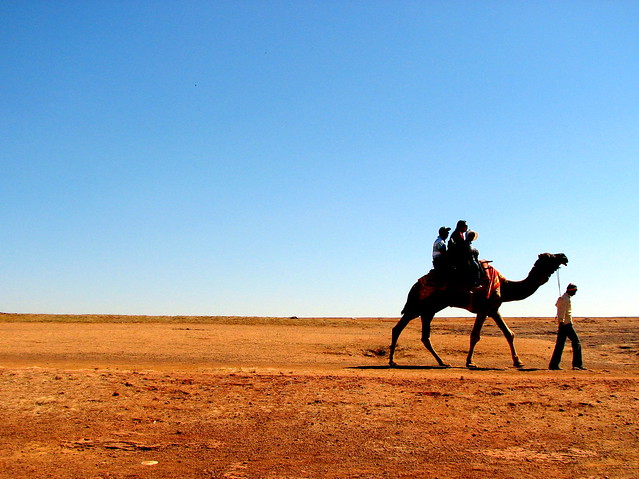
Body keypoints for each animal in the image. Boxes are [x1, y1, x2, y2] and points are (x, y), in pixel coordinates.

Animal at [390, 253, 568, 370]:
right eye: (550, 256)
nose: (564, 256)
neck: (505, 286)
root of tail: (415, 286)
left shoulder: (494, 309)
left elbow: (509, 334)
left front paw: (518, 362)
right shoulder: (483, 308)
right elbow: (475, 335)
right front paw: (471, 362)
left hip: (428, 310)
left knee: (419, 335)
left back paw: (441, 362)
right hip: (418, 306)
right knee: (399, 329)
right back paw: (393, 361)